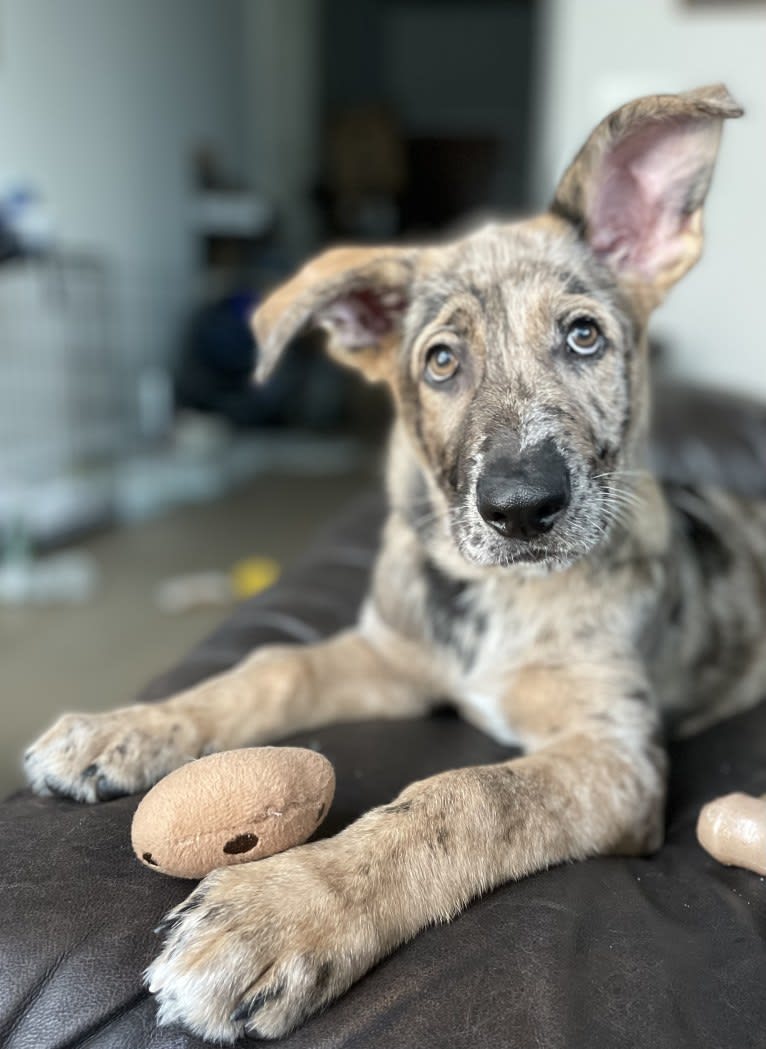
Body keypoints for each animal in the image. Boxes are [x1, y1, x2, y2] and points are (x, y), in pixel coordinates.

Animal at [23, 83, 759, 1040]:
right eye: (441, 361)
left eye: (584, 338)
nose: (522, 508)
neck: (496, 593)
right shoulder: (391, 656)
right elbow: (274, 665)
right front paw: (125, 728)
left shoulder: (617, 755)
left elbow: (468, 794)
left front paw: (280, 909)